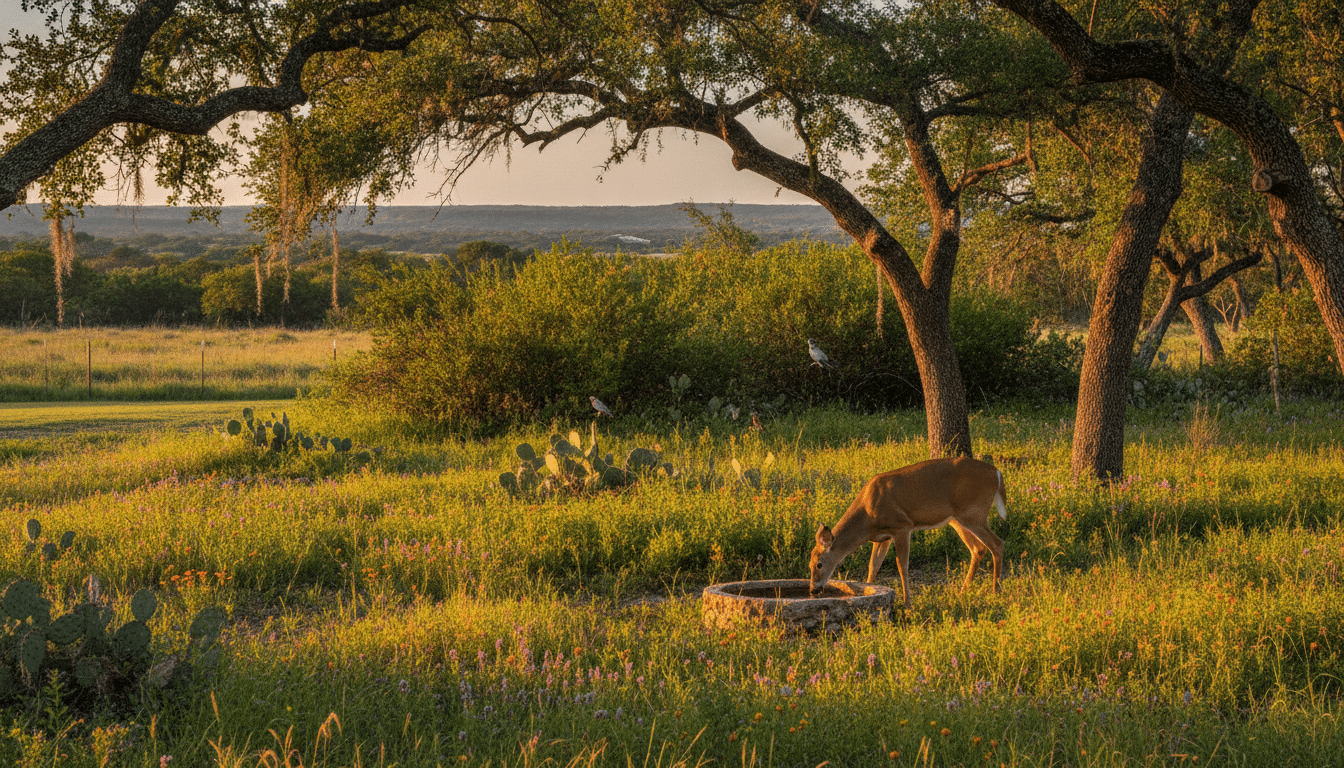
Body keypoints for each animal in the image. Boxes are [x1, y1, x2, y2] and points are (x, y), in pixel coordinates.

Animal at [808, 456, 1007, 607]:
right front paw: (868, 592)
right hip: (957, 519)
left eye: (819, 564)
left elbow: (902, 565)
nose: (813, 590)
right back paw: (963, 591)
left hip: (973, 513)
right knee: (978, 548)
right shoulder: (882, 538)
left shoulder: (902, 526)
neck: (867, 517)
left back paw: (996, 591)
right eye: (809, 565)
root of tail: (997, 473)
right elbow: (874, 565)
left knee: (998, 544)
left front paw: (907, 603)